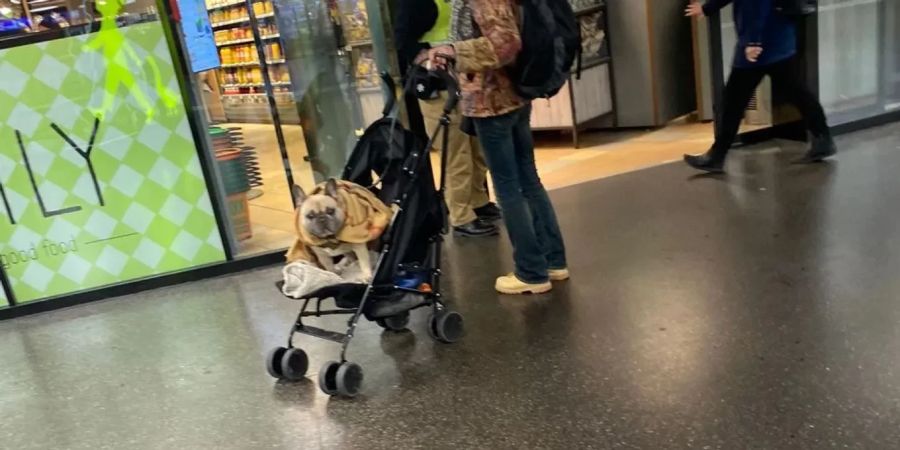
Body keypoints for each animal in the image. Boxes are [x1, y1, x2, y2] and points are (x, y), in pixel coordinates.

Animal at [266, 71, 464, 398]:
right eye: (309, 216)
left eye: (330, 211)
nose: (323, 221)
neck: (332, 238)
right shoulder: (320, 251)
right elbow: (326, 266)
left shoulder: (358, 246)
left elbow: (364, 268)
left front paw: (341, 373)